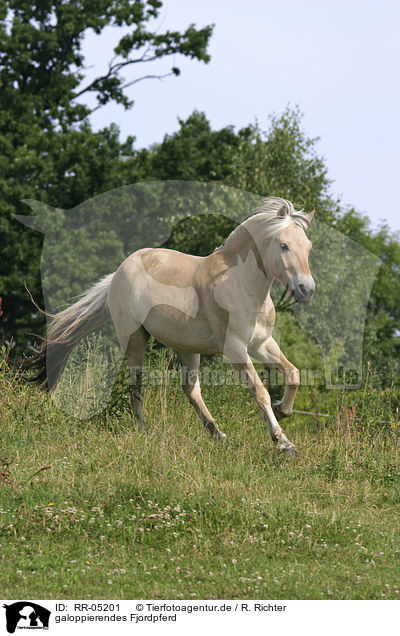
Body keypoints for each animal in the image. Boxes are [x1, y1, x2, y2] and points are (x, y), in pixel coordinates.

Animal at [27, 196, 316, 454]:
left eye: (308, 246)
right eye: (283, 245)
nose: (306, 290)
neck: (238, 283)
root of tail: (118, 274)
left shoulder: (261, 344)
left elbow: (293, 374)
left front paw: (283, 410)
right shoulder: (235, 348)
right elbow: (259, 391)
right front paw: (283, 443)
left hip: (187, 347)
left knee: (190, 389)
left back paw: (217, 433)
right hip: (134, 339)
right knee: (137, 386)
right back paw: (143, 431)